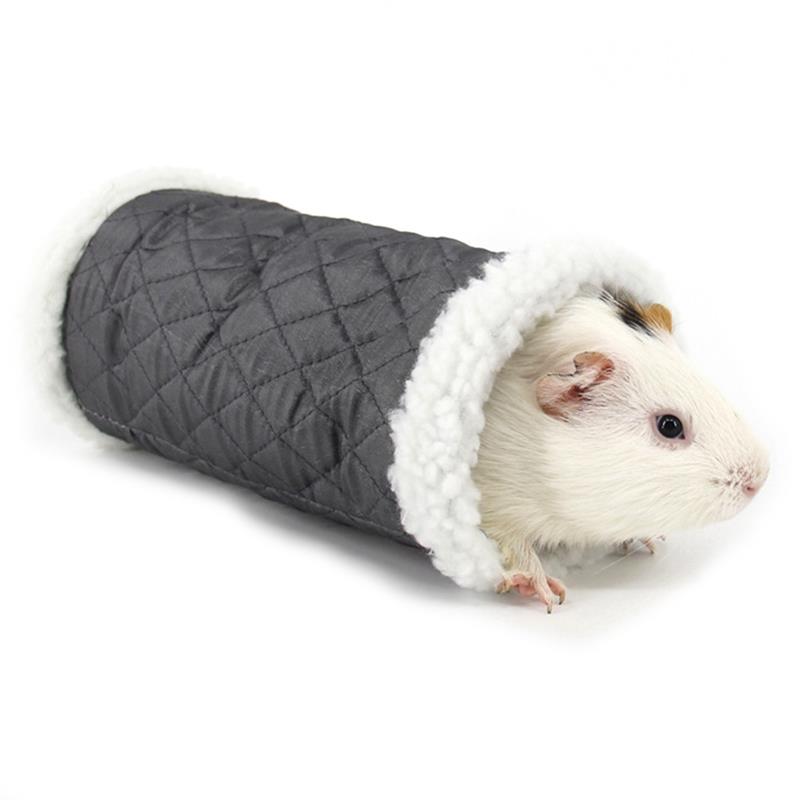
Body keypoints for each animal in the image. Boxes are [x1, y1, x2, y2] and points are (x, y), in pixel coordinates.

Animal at [472, 289, 769, 612]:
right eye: (669, 425)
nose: (759, 479)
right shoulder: (497, 507)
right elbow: (516, 546)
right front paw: (550, 594)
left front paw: (648, 542)